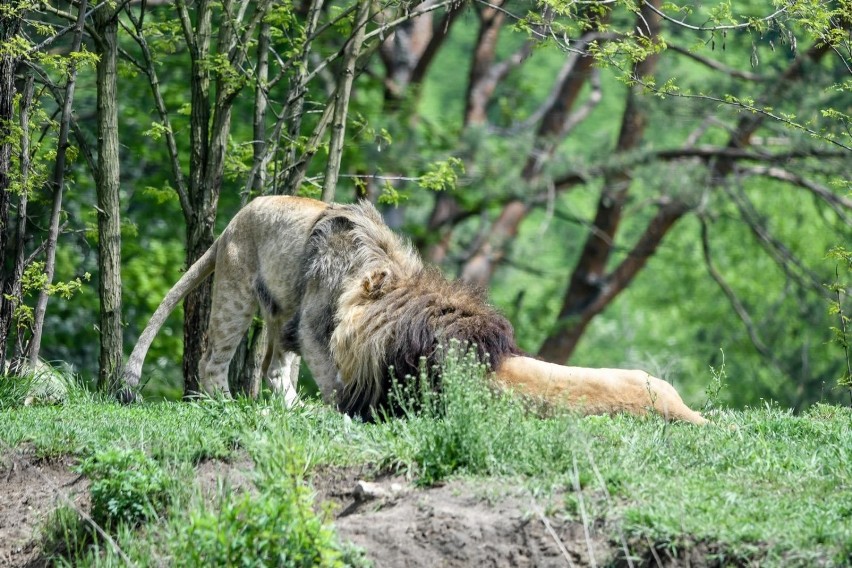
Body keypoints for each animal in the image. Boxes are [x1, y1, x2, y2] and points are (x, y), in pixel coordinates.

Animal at [121, 194, 704, 422]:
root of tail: (231, 223)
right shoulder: (312, 325)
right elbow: (327, 371)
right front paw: (334, 406)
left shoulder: (310, 327)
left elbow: (325, 378)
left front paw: (332, 408)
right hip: (240, 293)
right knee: (217, 361)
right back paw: (232, 404)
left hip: (265, 307)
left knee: (257, 367)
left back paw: (270, 406)